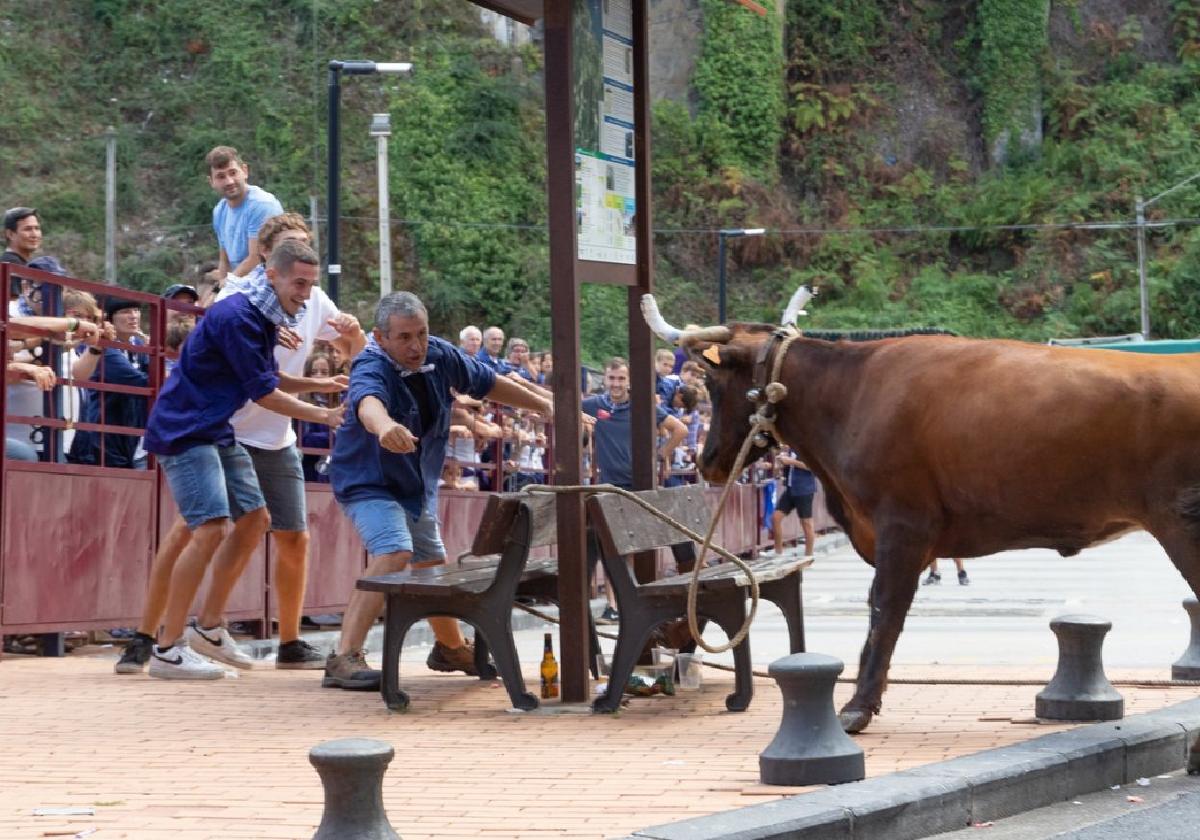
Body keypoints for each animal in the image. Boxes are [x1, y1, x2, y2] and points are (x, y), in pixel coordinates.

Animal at [648, 296, 1200, 734]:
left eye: (713, 383)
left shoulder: (902, 525)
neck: (849, 394)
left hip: (1182, 524)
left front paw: (857, 707)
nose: (708, 461)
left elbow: (884, 610)